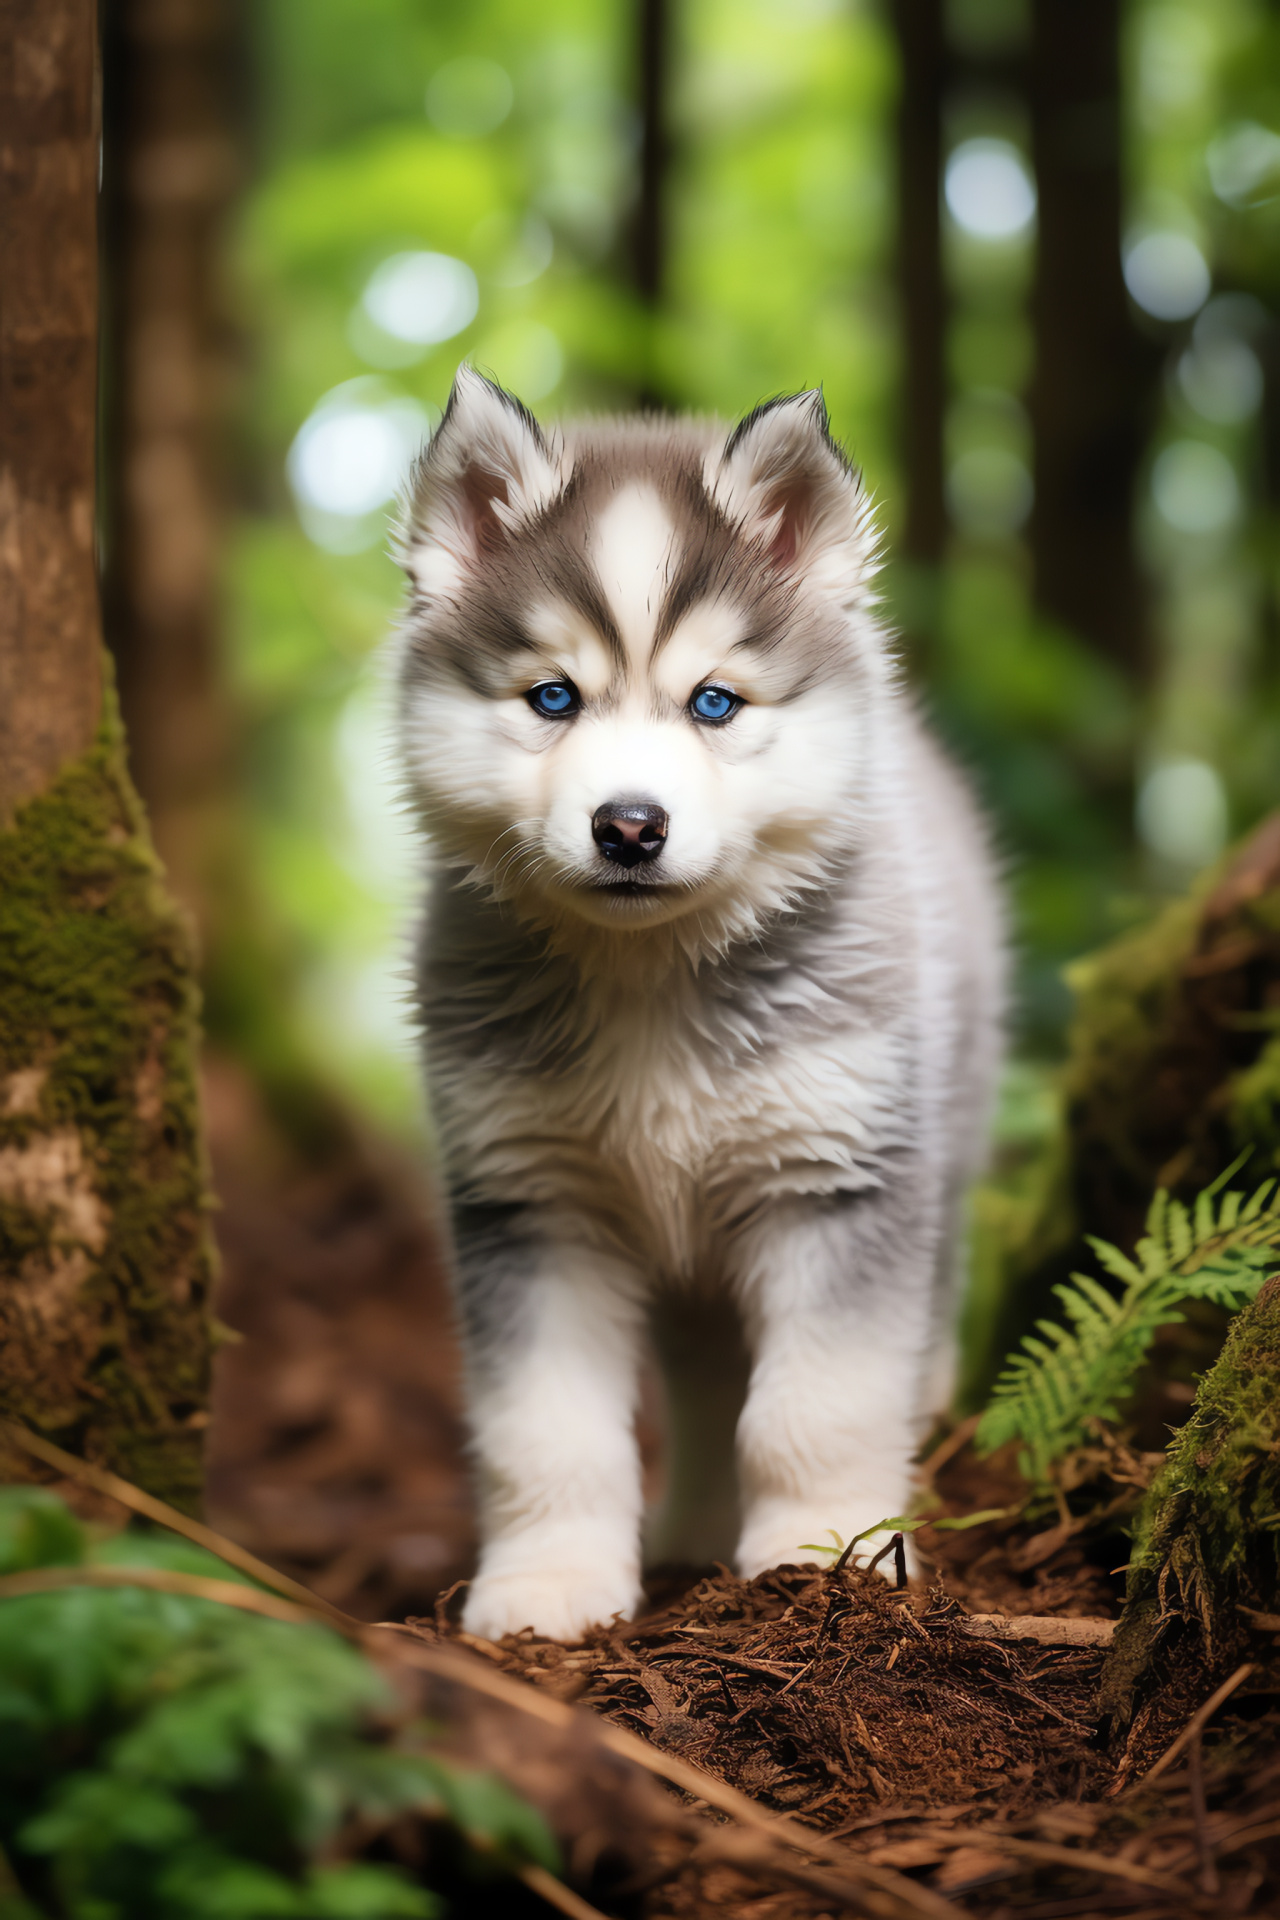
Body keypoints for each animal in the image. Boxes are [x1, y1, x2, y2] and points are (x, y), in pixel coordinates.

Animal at [395, 366, 1005, 1643]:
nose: (628, 825)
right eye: (553, 697)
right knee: (703, 1386)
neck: (648, 976)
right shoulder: (530, 1202)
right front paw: (547, 1588)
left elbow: (816, 1406)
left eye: (714, 704)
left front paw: (828, 1560)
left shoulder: (839, 1181)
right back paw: (687, 1534)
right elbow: (546, 1429)